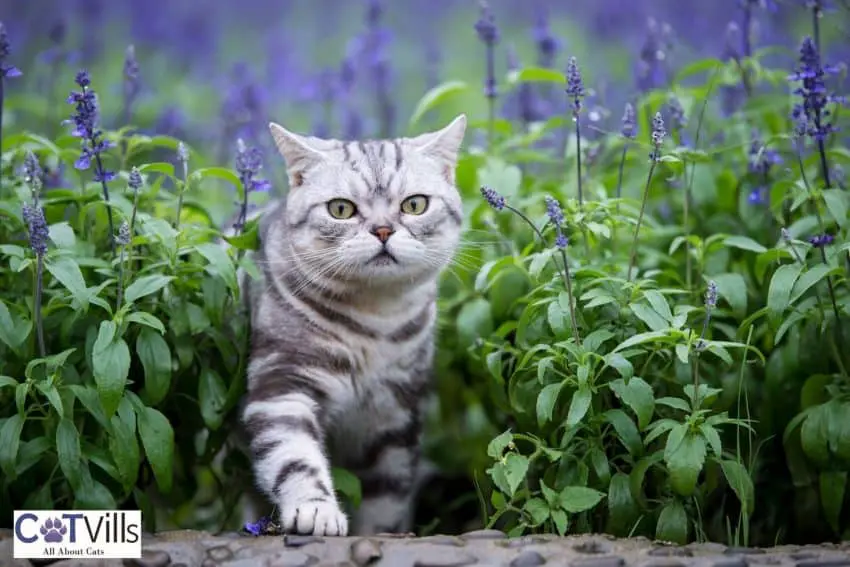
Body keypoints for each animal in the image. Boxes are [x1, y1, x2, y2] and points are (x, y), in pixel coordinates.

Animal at [235, 114, 468, 536]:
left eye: (415, 205)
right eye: (341, 209)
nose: (382, 230)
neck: (376, 321)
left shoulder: (395, 417)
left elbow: (387, 499)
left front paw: (381, 535)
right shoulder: (282, 384)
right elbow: (294, 458)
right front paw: (316, 510)